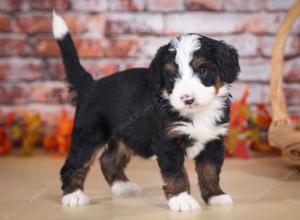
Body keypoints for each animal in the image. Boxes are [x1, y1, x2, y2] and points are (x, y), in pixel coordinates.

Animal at [52, 11, 240, 212]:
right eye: (171, 76)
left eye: (203, 70)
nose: (187, 99)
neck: (198, 113)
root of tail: (91, 85)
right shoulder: (168, 142)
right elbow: (176, 173)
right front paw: (182, 199)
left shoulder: (214, 140)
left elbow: (210, 170)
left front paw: (215, 195)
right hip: (89, 135)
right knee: (73, 164)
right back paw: (73, 195)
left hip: (124, 135)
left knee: (109, 159)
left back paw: (123, 186)